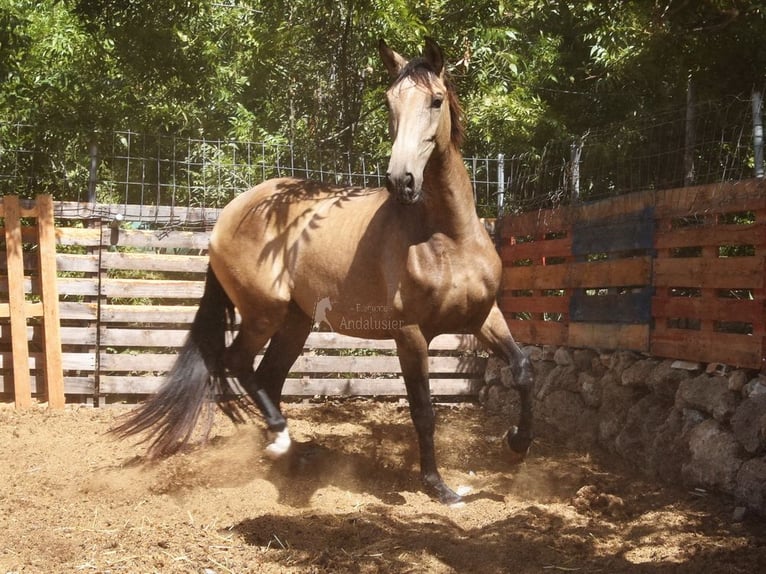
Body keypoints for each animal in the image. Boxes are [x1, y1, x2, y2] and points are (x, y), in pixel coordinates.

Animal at [114, 38, 536, 506]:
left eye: (436, 100)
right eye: (389, 102)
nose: (401, 181)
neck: (448, 236)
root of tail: (231, 212)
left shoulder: (483, 317)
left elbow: (523, 369)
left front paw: (516, 443)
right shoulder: (410, 334)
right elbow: (424, 411)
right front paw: (438, 486)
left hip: (296, 322)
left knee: (267, 376)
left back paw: (291, 455)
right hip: (265, 313)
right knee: (238, 362)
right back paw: (280, 439)